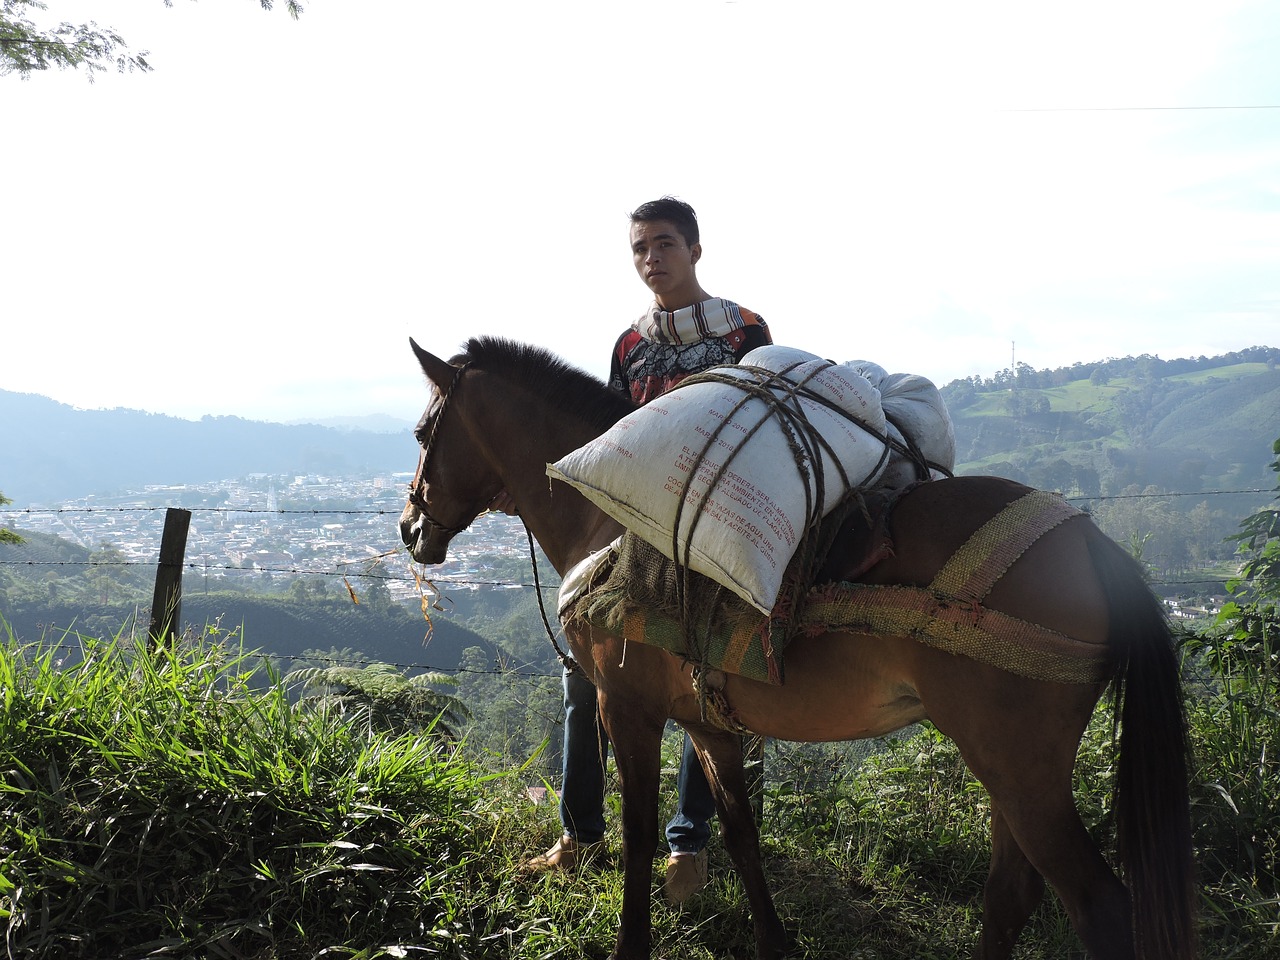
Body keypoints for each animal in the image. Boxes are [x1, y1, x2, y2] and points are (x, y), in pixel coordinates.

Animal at [394, 335, 1192, 960]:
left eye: (424, 432)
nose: (409, 527)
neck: (607, 524)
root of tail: (1092, 544)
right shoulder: (709, 721)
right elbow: (740, 830)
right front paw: (773, 941)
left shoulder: (627, 705)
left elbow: (642, 834)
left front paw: (631, 944)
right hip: (1008, 764)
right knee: (1011, 891)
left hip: (1019, 763)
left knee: (1098, 909)